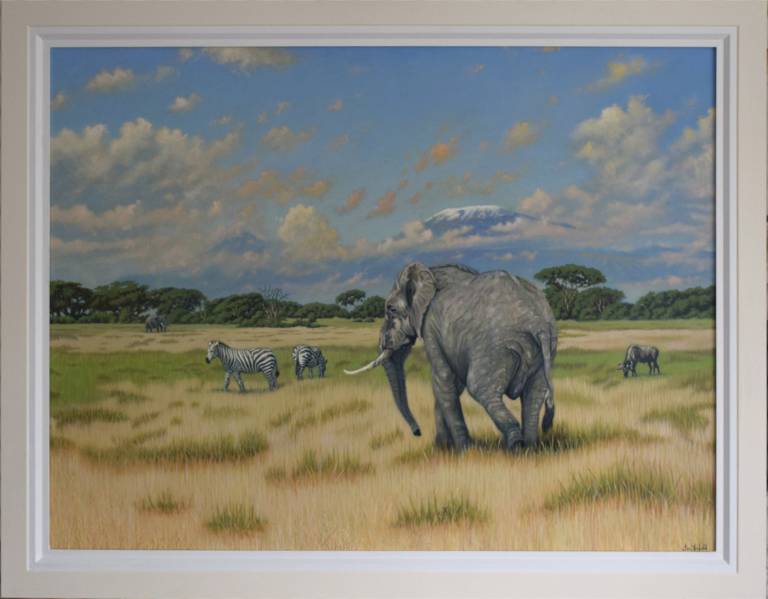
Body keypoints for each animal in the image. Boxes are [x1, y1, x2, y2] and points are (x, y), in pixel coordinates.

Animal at [344, 262, 556, 450]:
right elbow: (452, 384)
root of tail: (535, 322)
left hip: (495, 347)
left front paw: (464, 451)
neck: (431, 272)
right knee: (534, 396)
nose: (417, 432)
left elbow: (443, 379)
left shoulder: (430, 326)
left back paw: (515, 446)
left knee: (480, 388)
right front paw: (443, 448)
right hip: (543, 350)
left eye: (391, 309)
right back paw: (529, 448)